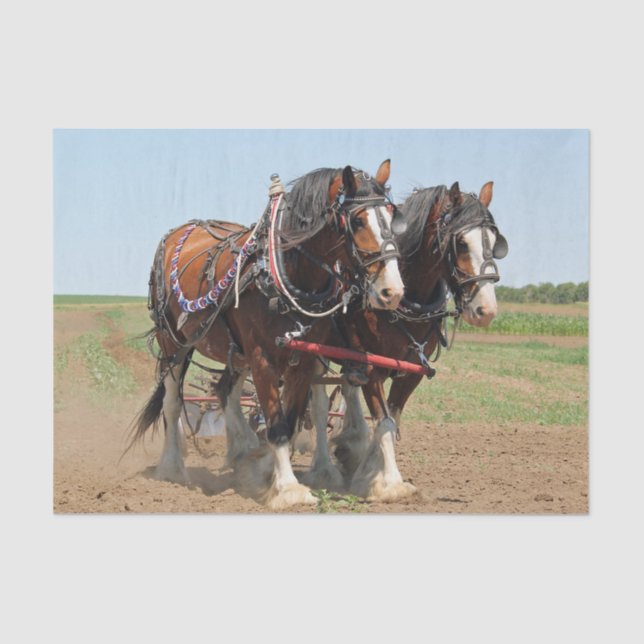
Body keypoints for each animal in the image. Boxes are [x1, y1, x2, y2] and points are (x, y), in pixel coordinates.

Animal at [126, 160, 406, 509]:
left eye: (392, 216)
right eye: (356, 220)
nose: (392, 291)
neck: (285, 272)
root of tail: (180, 230)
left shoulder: (303, 358)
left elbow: (290, 417)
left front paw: (269, 474)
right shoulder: (262, 357)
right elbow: (276, 423)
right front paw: (288, 489)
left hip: (234, 351)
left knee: (226, 392)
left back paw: (243, 451)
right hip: (174, 344)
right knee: (173, 401)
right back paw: (172, 467)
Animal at [305, 180, 509, 501]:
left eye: (492, 239)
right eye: (462, 243)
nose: (486, 310)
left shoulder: (411, 371)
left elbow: (392, 419)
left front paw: (369, 469)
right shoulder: (372, 367)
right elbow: (385, 422)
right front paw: (390, 482)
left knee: (348, 391)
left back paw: (350, 446)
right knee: (320, 403)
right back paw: (323, 469)